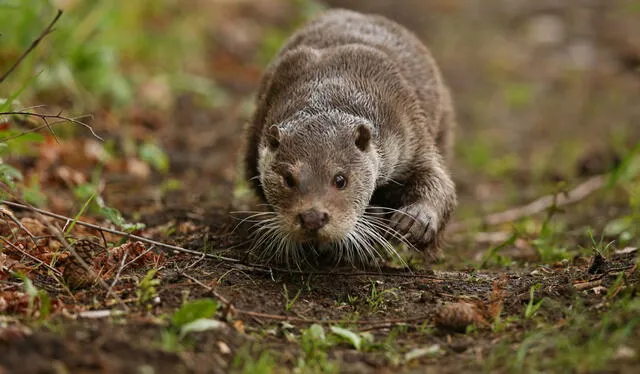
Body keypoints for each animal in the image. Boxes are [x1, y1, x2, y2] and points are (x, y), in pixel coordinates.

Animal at [242, 8, 458, 266]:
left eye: (340, 180)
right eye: (288, 179)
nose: (312, 217)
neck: (332, 84)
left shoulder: (411, 133)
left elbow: (437, 179)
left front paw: (417, 219)